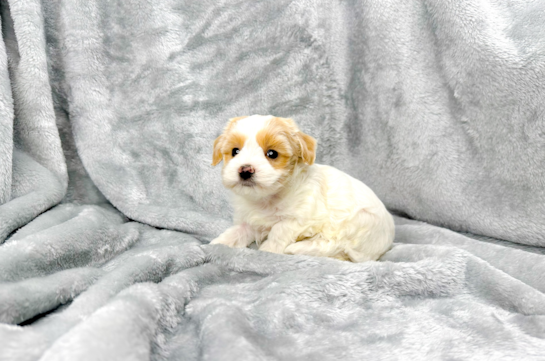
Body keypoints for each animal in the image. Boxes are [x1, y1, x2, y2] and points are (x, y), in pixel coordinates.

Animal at [210, 115, 394, 262]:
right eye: (235, 151)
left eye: (272, 154)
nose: (245, 170)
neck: (267, 198)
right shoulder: (249, 220)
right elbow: (236, 232)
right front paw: (217, 244)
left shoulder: (301, 218)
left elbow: (279, 230)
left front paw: (268, 250)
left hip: (361, 220)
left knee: (336, 245)